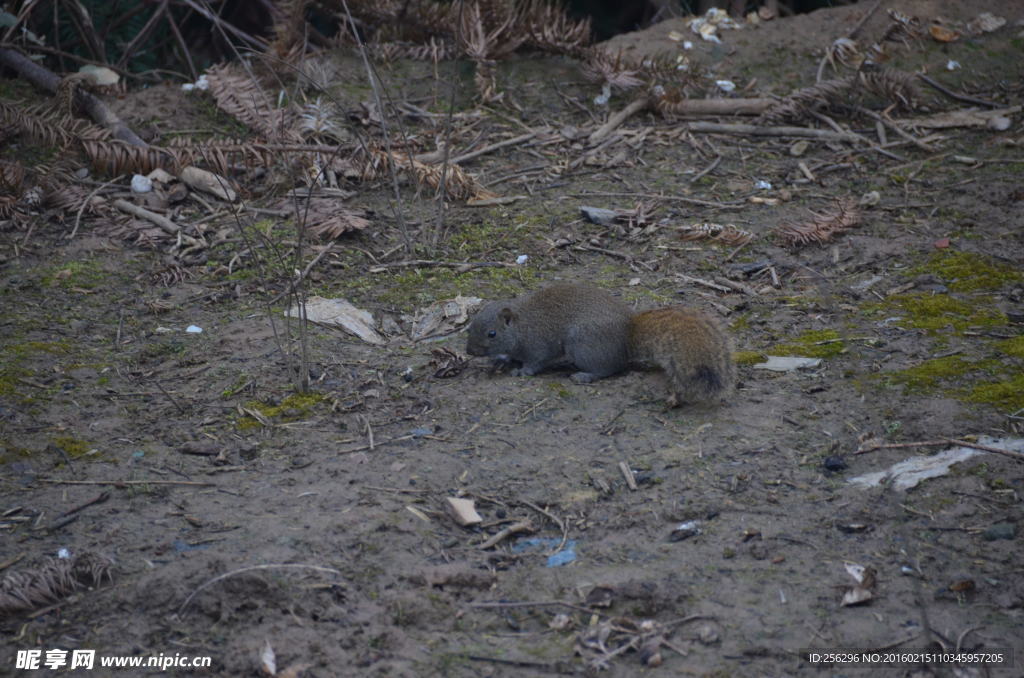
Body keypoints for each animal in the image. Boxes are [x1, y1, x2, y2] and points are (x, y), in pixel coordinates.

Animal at [464, 282, 737, 405]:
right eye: (471, 325)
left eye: (491, 334)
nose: (469, 351)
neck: (521, 326)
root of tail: (627, 335)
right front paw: (502, 359)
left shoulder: (538, 344)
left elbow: (536, 361)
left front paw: (522, 371)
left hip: (583, 344)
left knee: (610, 369)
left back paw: (584, 375)